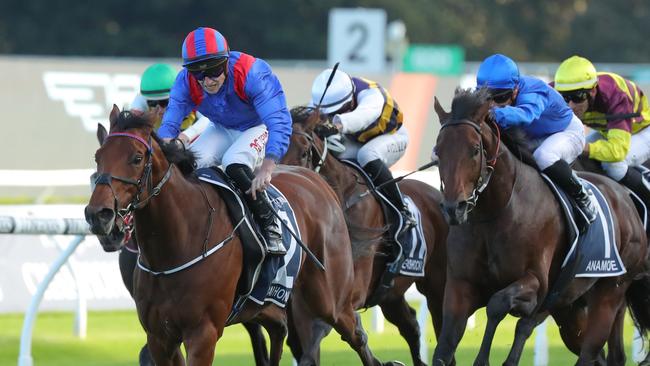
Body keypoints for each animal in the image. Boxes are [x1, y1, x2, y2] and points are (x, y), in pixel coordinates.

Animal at [84, 106, 402, 366]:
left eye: (137, 158)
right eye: (98, 157)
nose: (99, 214)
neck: (176, 245)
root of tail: (318, 182)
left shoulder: (203, 333)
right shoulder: (160, 337)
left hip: (328, 296)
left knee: (354, 331)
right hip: (267, 298)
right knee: (281, 329)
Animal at [280, 106, 448, 366]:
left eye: (305, 151)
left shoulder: (351, 289)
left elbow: (334, 329)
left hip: (437, 283)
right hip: (391, 293)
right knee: (410, 325)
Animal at [430, 89, 648, 366]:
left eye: (474, 149)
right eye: (438, 151)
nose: (453, 208)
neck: (495, 212)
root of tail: (625, 197)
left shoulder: (537, 282)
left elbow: (498, 304)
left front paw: (483, 359)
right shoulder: (461, 286)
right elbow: (445, 346)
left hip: (610, 290)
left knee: (590, 351)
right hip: (572, 308)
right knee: (608, 355)